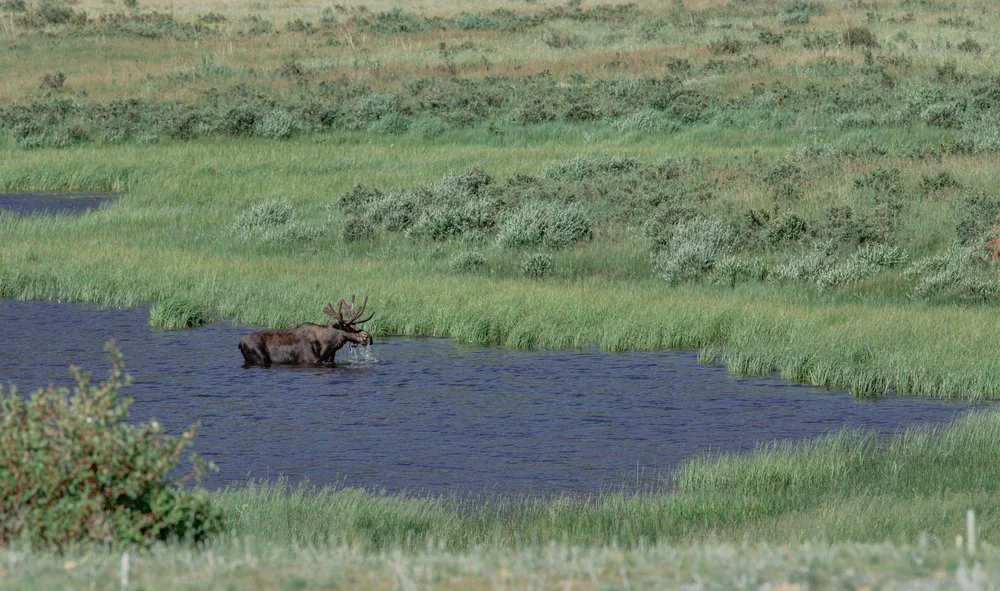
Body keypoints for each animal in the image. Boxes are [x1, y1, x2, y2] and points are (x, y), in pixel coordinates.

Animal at [238, 295, 374, 367]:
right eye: (348, 327)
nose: (369, 337)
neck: (328, 347)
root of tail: (240, 343)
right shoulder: (310, 360)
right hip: (259, 358)